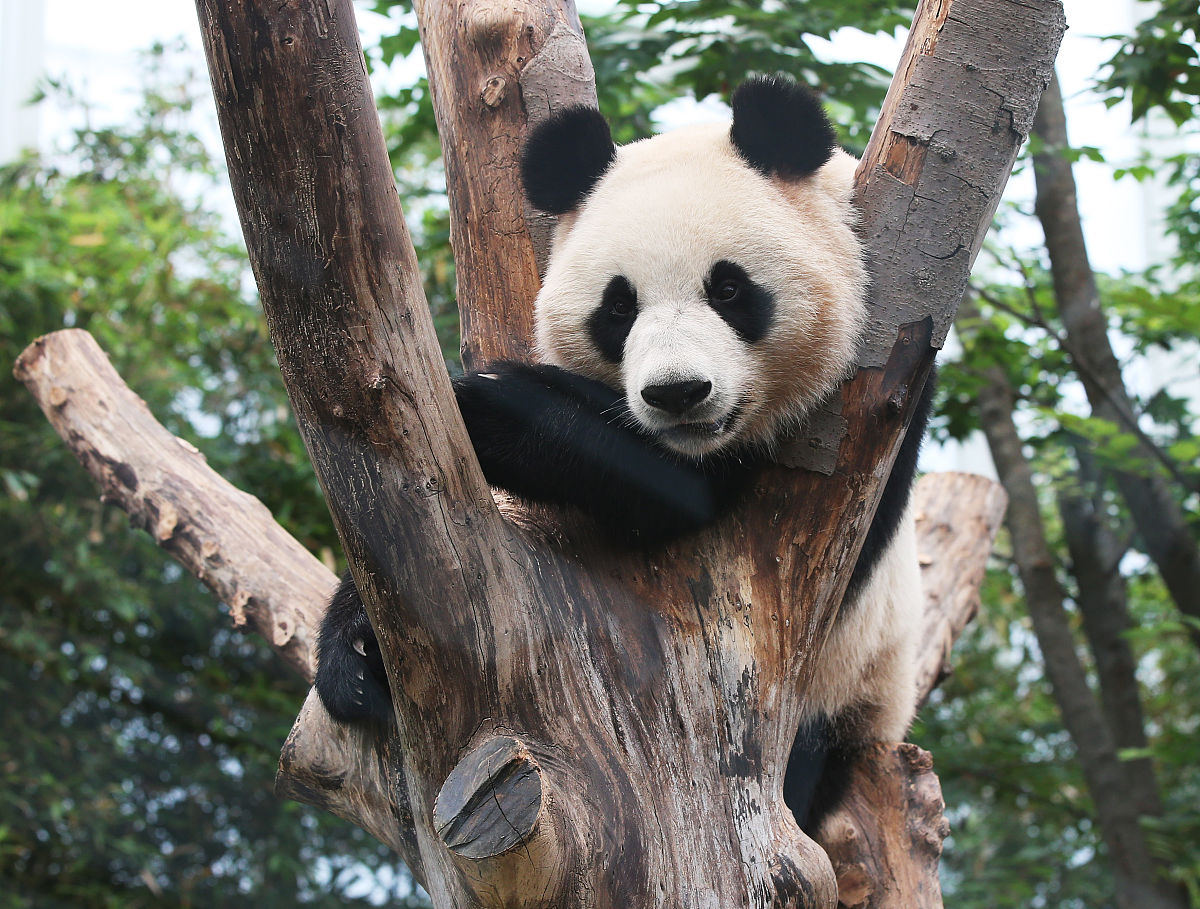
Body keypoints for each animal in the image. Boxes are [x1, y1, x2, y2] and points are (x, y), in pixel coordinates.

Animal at [314, 76, 931, 839]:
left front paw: (492, 405)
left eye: (729, 289)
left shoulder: (871, 412)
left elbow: (672, 494)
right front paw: (352, 652)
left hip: (851, 692)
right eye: (617, 308)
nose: (678, 394)